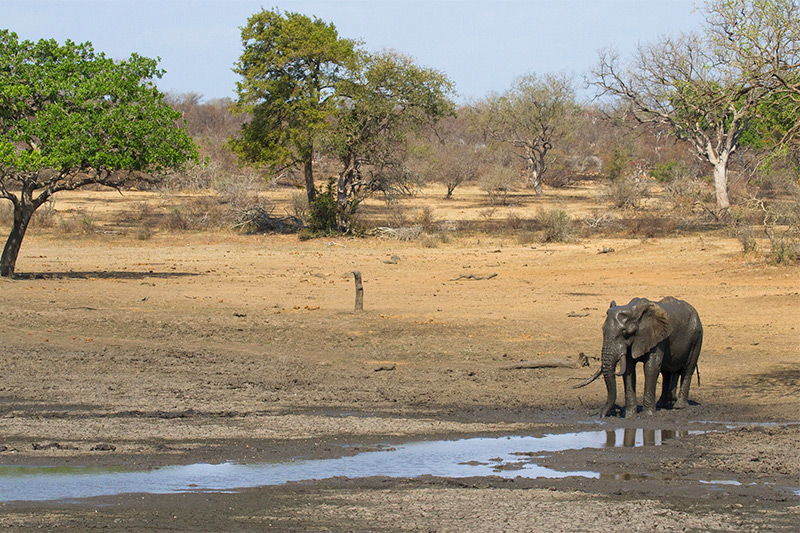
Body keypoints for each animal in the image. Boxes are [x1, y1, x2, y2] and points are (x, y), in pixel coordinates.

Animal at [572, 296, 704, 416]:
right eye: (603, 330)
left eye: (626, 333)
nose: (602, 416)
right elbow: (629, 370)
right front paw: (630, 415)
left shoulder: (656, 337)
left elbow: (651, 368)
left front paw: (648, 415)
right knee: (666, 372)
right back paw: (662, 404)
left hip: (697, 336)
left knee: (687, 370)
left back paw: (679, 406)